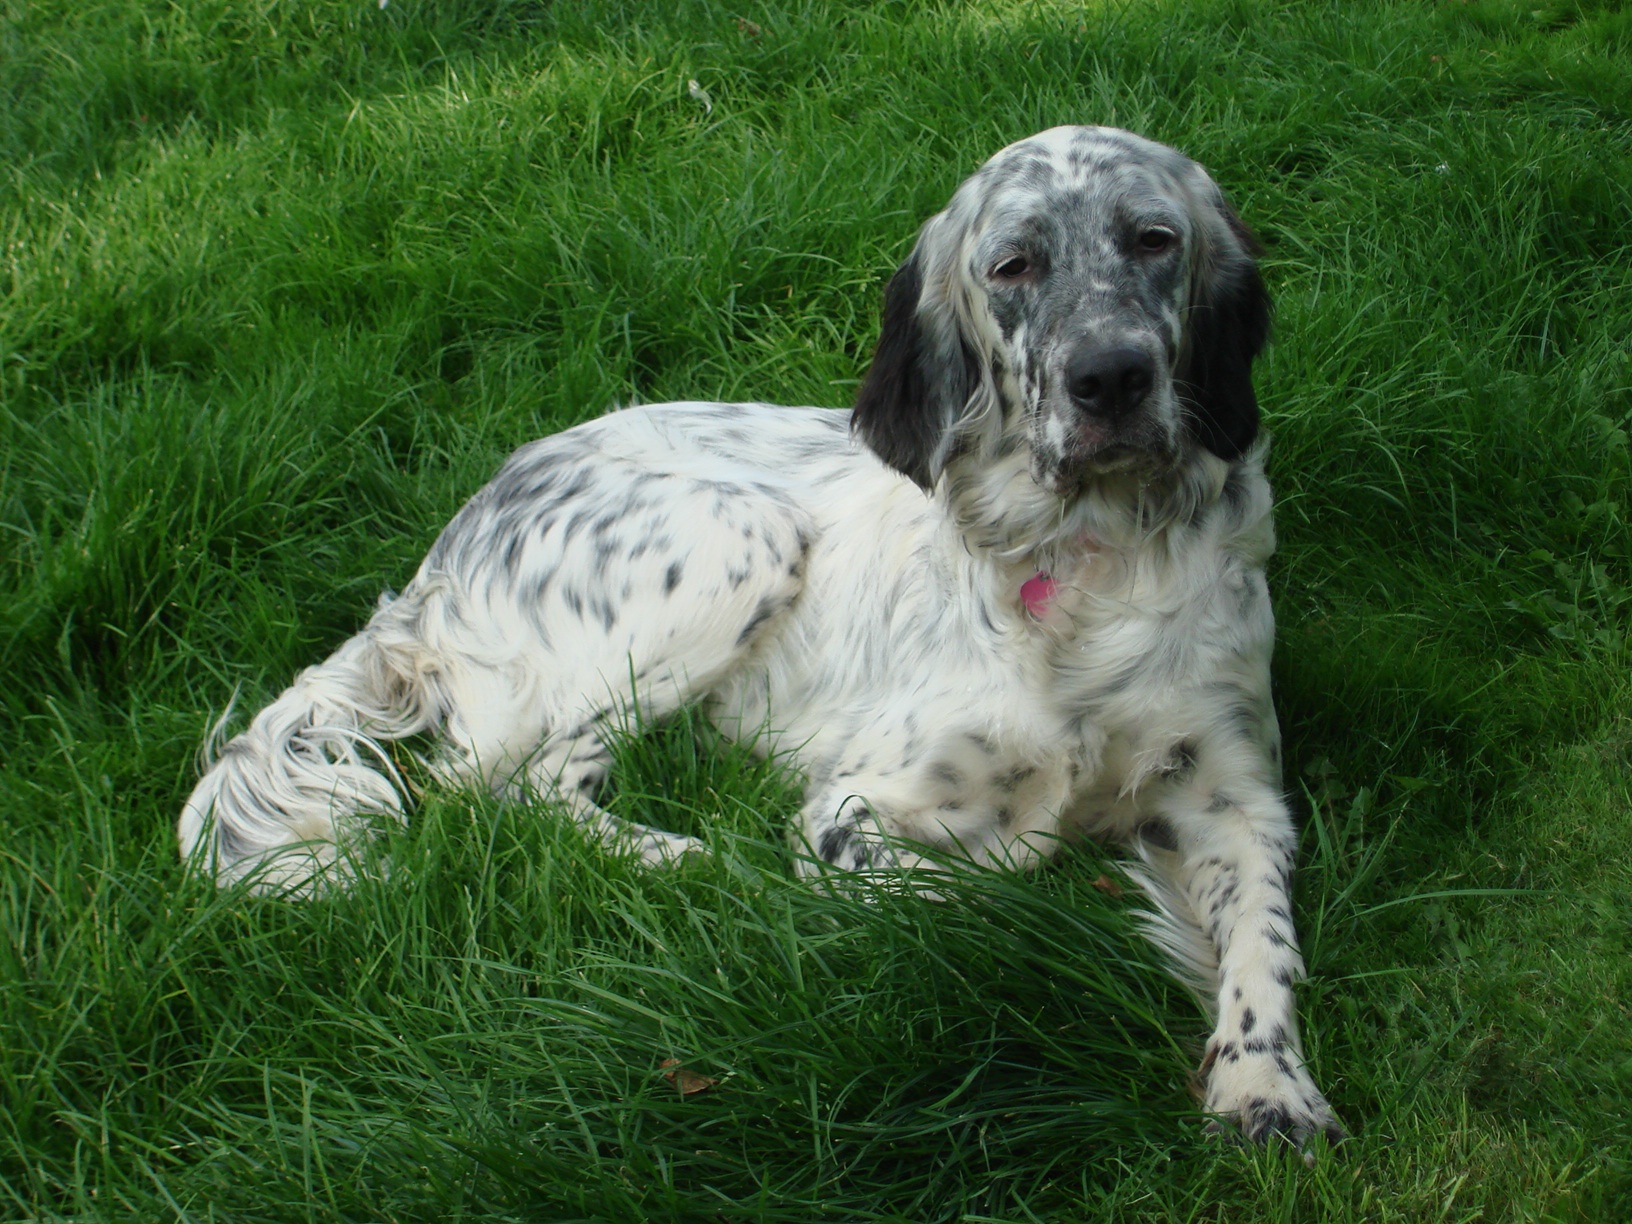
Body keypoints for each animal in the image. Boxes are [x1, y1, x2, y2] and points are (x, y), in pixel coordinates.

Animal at [185, 129, 1344, 1155]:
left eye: (1153, 238)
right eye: (1013, 264)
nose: (1112, 378)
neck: (1088, 563)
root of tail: (438, 561)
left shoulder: (1236, 796)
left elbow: (1267, 945)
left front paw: (1264, 1085)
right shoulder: (854, 807)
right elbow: (983, 883)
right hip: (738, 537)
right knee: (506, 787)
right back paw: (683, 852)